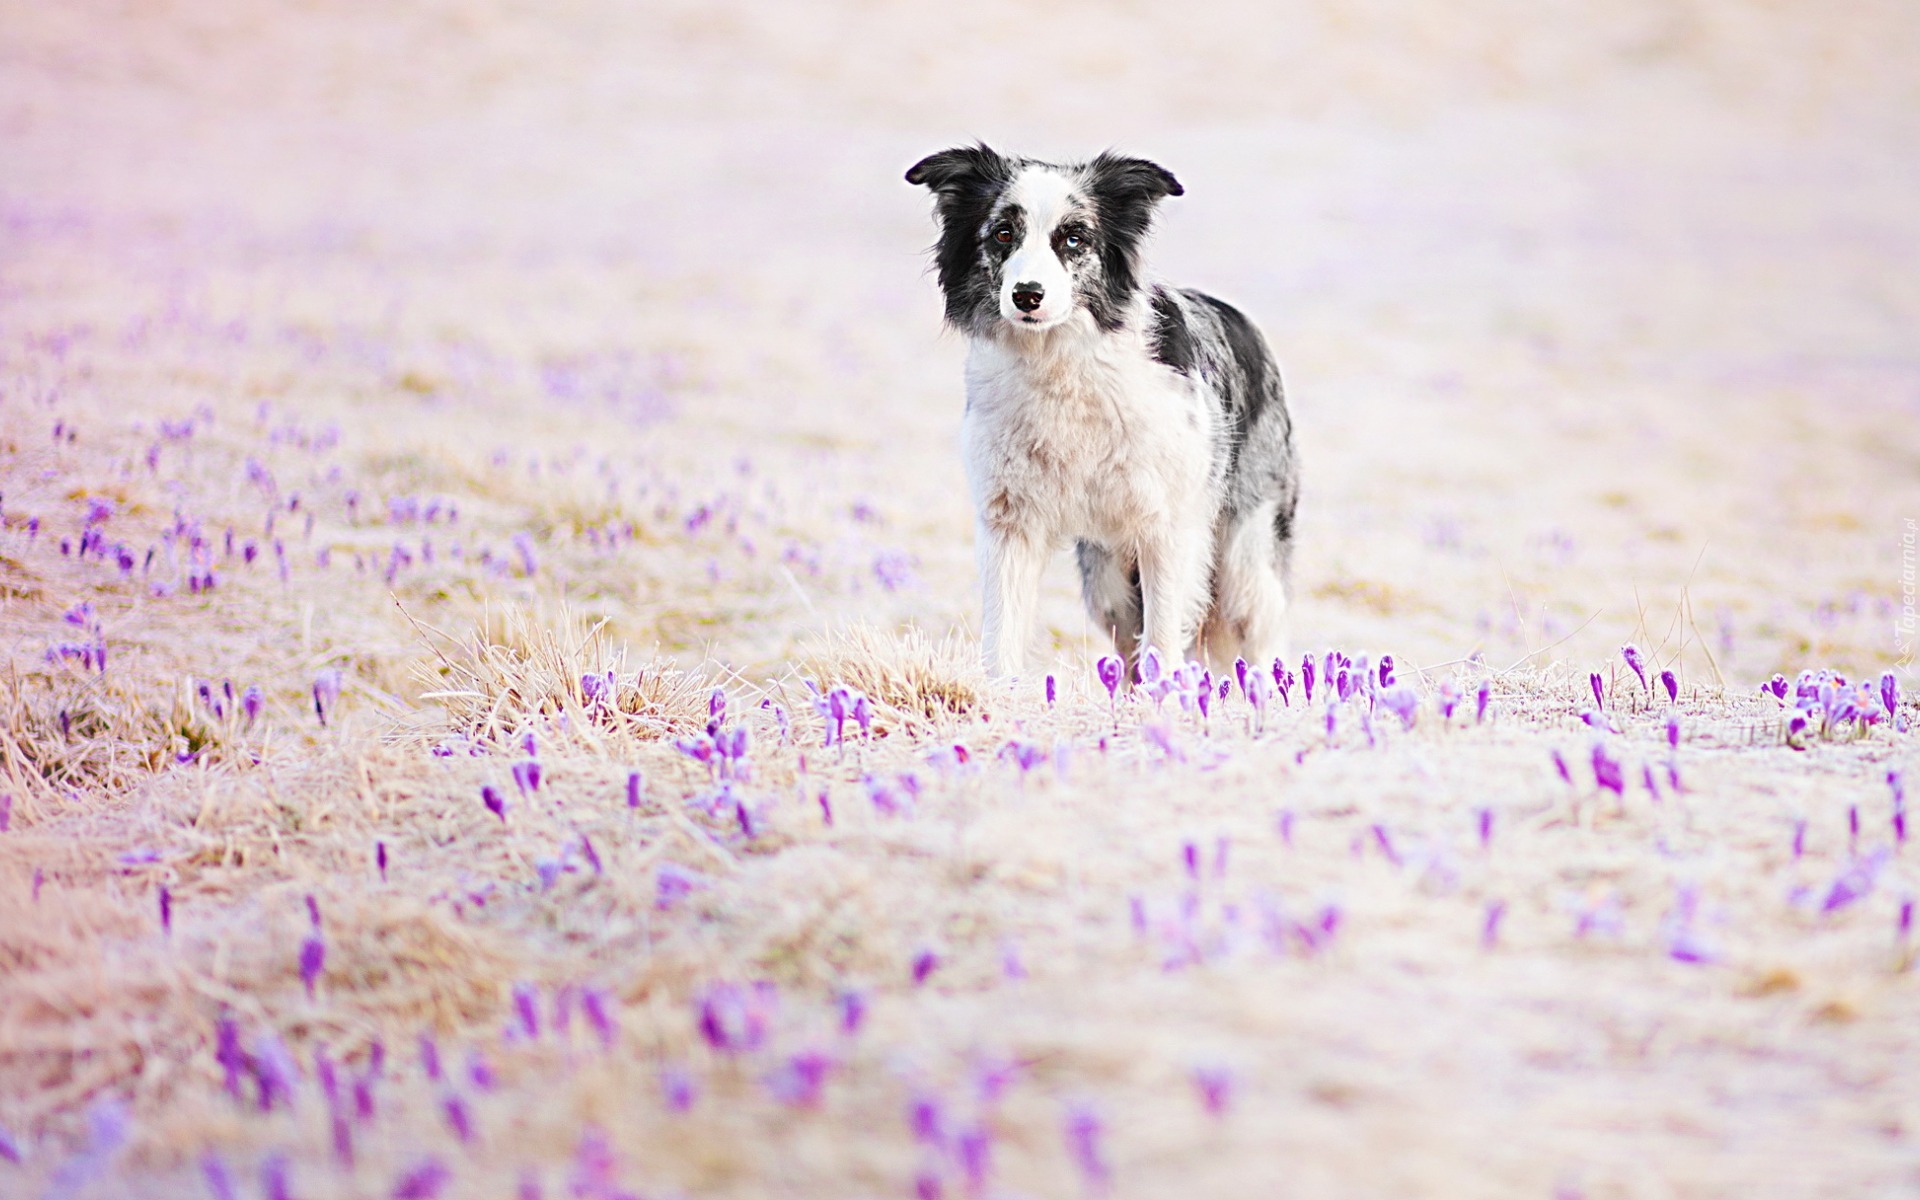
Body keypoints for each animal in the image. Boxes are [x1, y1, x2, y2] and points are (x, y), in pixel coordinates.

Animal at [902, 143, 1297, 675]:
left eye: (1074, 238)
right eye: (1003, 233)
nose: (1027, 295)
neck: (1060, 364)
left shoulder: (1167, 529)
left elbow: (1163, 641)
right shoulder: (1009, 524)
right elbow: (1002, 639)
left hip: (1245, 566)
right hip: (1109, 580)